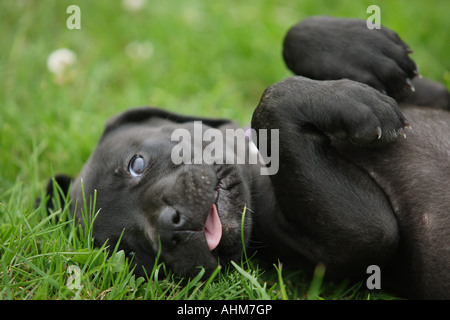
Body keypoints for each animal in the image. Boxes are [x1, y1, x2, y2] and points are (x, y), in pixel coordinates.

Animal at [43, 17, 450, 298]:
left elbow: (292, 39)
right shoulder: (361, 233)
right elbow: (271, 100)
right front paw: (356, 102)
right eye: (132, 252)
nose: (170, 227)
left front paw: (365, 52)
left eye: (136, 165)